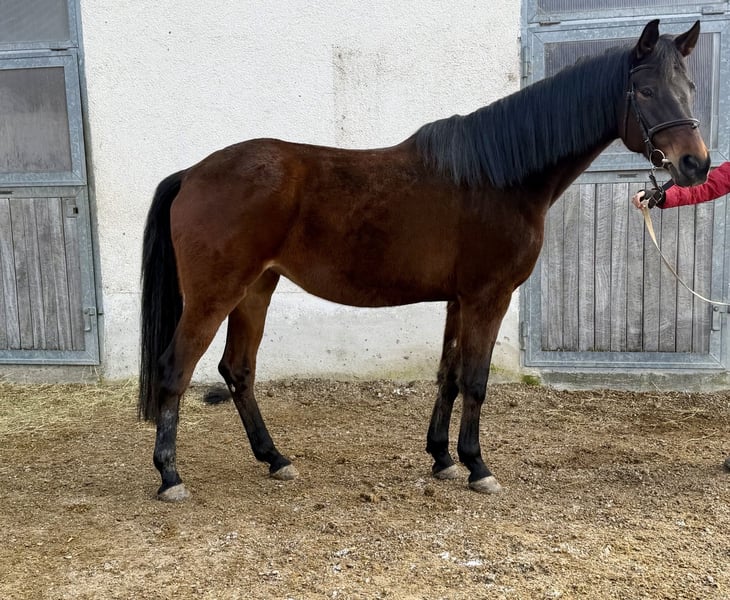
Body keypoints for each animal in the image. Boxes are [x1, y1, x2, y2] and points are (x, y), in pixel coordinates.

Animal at [139, 20, 709, 501]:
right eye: (645, 91)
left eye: (690, 87)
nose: (695, 164)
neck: (500, 176)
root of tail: (192, 173)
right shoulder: (488, 297)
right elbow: (475, 380)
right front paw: (478, 466)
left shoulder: (459, 300)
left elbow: (449, 376)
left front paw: (443, 459)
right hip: (214, 296)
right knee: (175, 368)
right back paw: (170, 476)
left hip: (256, 289)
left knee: (238, 370)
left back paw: (275, 458)